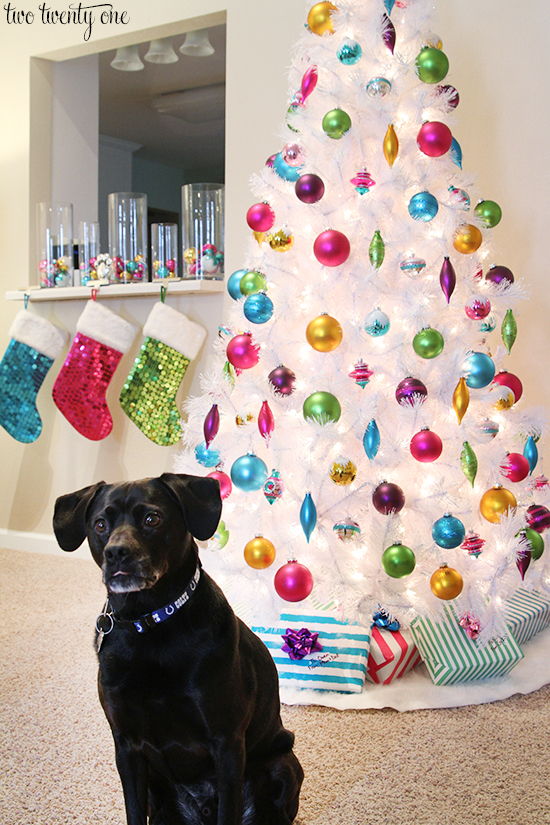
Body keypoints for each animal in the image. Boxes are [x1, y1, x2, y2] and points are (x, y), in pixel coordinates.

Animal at [53, 474, 304, 820]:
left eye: (152, 519)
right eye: (100, 524)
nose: (116, 553)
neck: (150, 625)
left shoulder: (227, 743)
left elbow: (229, 811)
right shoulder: (126, 747)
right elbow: (133, 812)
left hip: (283, 765)